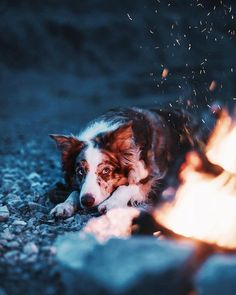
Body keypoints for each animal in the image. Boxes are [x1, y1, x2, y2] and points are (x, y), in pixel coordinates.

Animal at [49, 107, 195, 219]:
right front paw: (64, 206)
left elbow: (129, 186)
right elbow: (74, 192)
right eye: (80, 171)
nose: (87, 201)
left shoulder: (156, 175)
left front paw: (111, 203)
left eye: (106, 170)